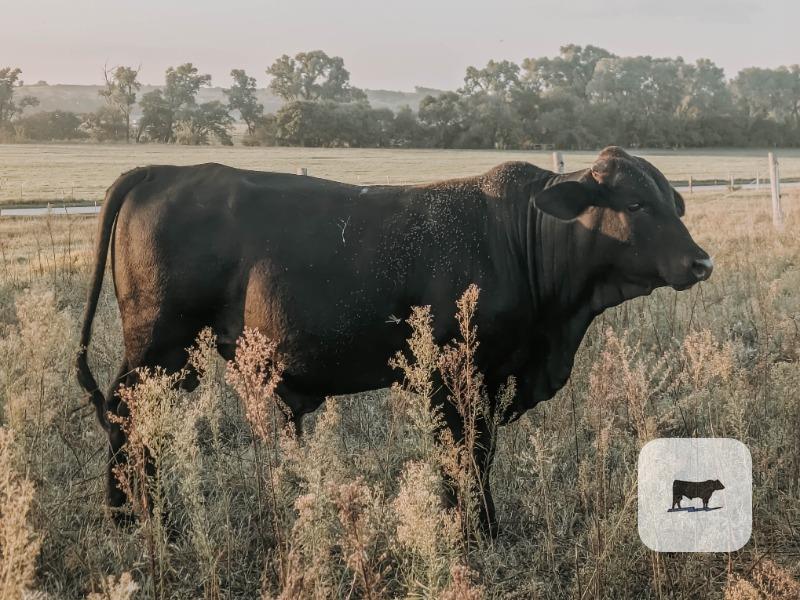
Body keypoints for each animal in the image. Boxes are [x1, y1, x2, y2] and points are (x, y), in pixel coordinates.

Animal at [76, 146, 713, 535]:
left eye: (673, 202)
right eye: (635, 203)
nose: (701, 261)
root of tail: (160, 170)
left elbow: (474, 456)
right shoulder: (458, 378)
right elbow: (466, 455)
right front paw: (473, 530)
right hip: (159, 347)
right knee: (127, 416)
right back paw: (134, 517)